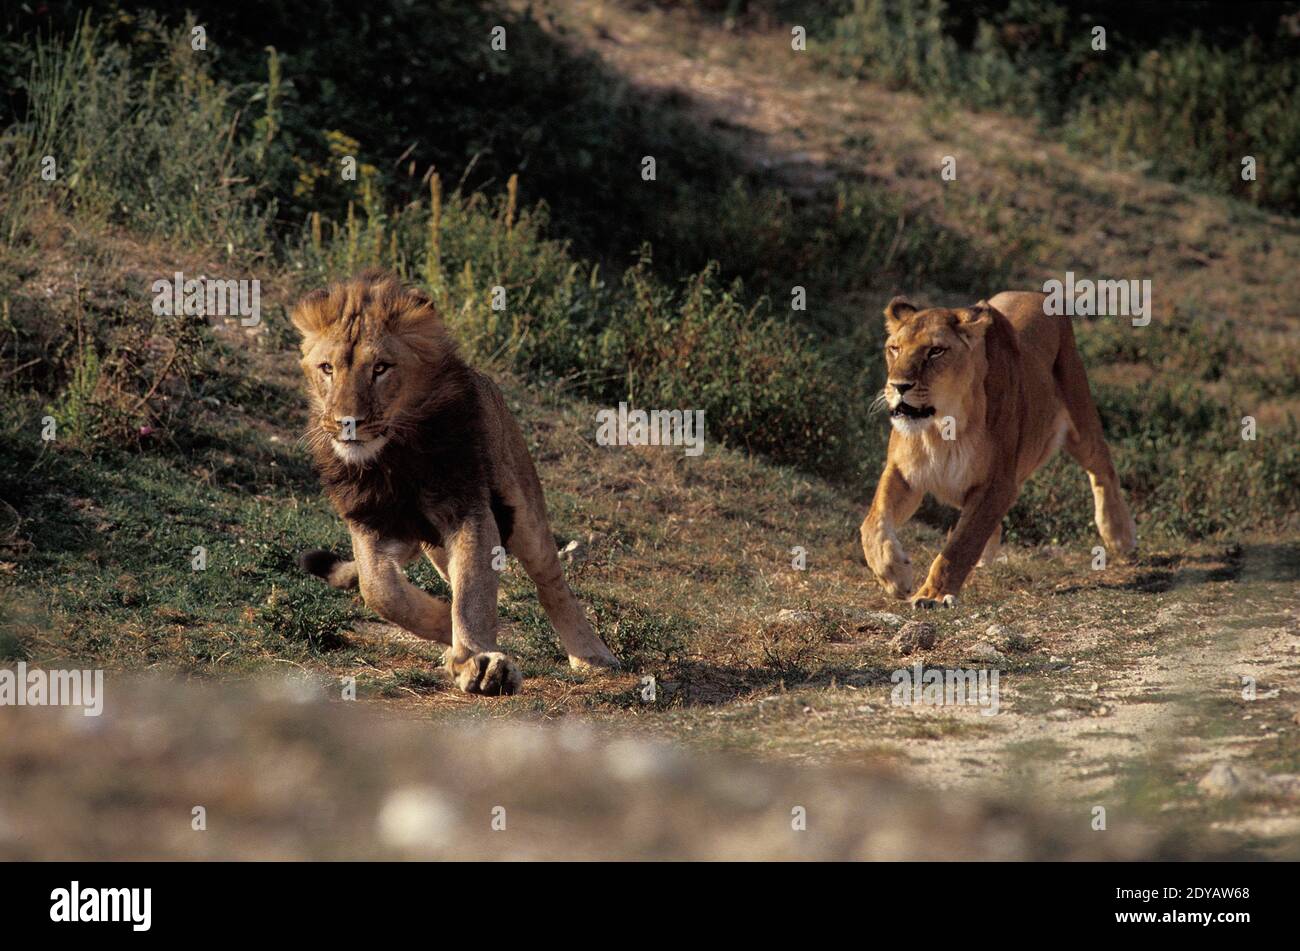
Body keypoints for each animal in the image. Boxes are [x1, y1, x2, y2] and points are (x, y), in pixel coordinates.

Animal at [290, 270, 619, 694]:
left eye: (380, 368)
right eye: (327, 368)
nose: (348, 422)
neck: (393, 458)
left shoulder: (469, 510)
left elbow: (472, 594)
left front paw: (479, 663)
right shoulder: (368, 523)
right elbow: (380, 590)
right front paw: (449, 634)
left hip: (523, 511)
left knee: (551, 583)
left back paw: (590, 655)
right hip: (434, 548)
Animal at [860, 291, 1136, 609]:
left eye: (935, 351)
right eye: (894, 348)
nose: (898, 386)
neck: (941, 428)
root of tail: (1036, 293)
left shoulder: (1000, 483)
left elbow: (961, 545)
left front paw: (932, 594)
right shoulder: (903, 473)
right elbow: (872, 522)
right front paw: (894, 574)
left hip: (1080, 417)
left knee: (1103, 467)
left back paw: (1120, 534)